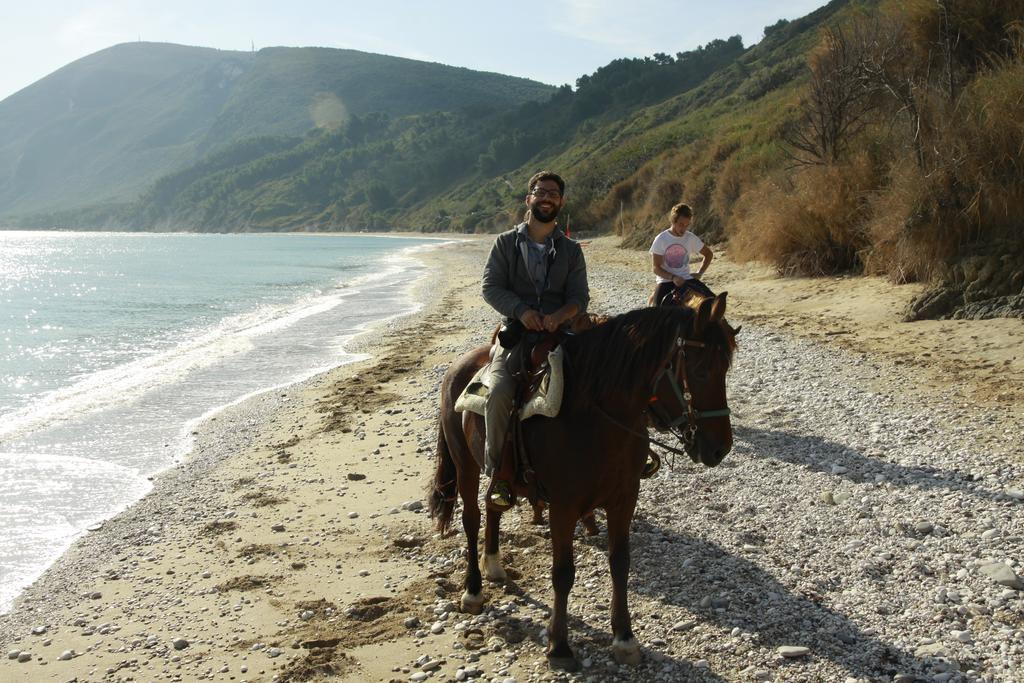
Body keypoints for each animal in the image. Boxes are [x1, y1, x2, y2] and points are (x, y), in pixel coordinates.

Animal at [425, 294, 737, 671]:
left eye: (725, 369)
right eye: (701, 370)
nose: (720, 448)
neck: (595, 417)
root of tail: (460, 368)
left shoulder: (624, 500)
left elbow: (620, 563)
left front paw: (624, 637)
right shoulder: (563, 507)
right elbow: (563, 573)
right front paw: (559, 645)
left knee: (493, 505)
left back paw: (495, 564)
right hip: (465, 465)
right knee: (471, 519)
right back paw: (473, 590)